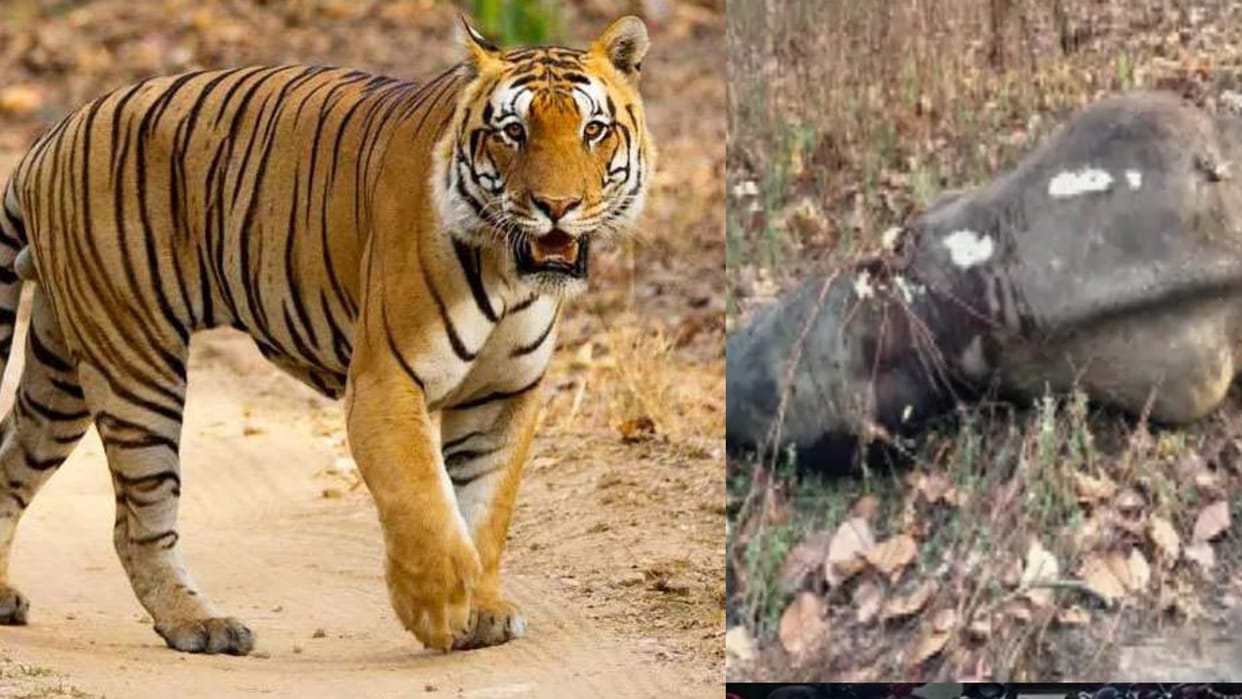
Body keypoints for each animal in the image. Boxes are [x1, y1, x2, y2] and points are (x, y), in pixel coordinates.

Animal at [0, 15, 652, 654]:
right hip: (135, 361)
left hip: (63, 368)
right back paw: (202, 625)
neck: (509, 271)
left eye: (594, 130)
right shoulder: (386, 381)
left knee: (13, 456)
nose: (557, 206)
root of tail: (52, 136)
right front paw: (440, 606)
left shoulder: (503, 394)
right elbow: (421, 496)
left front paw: (484, 610)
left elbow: (485, 509)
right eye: (513, 131)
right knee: (137, 524)